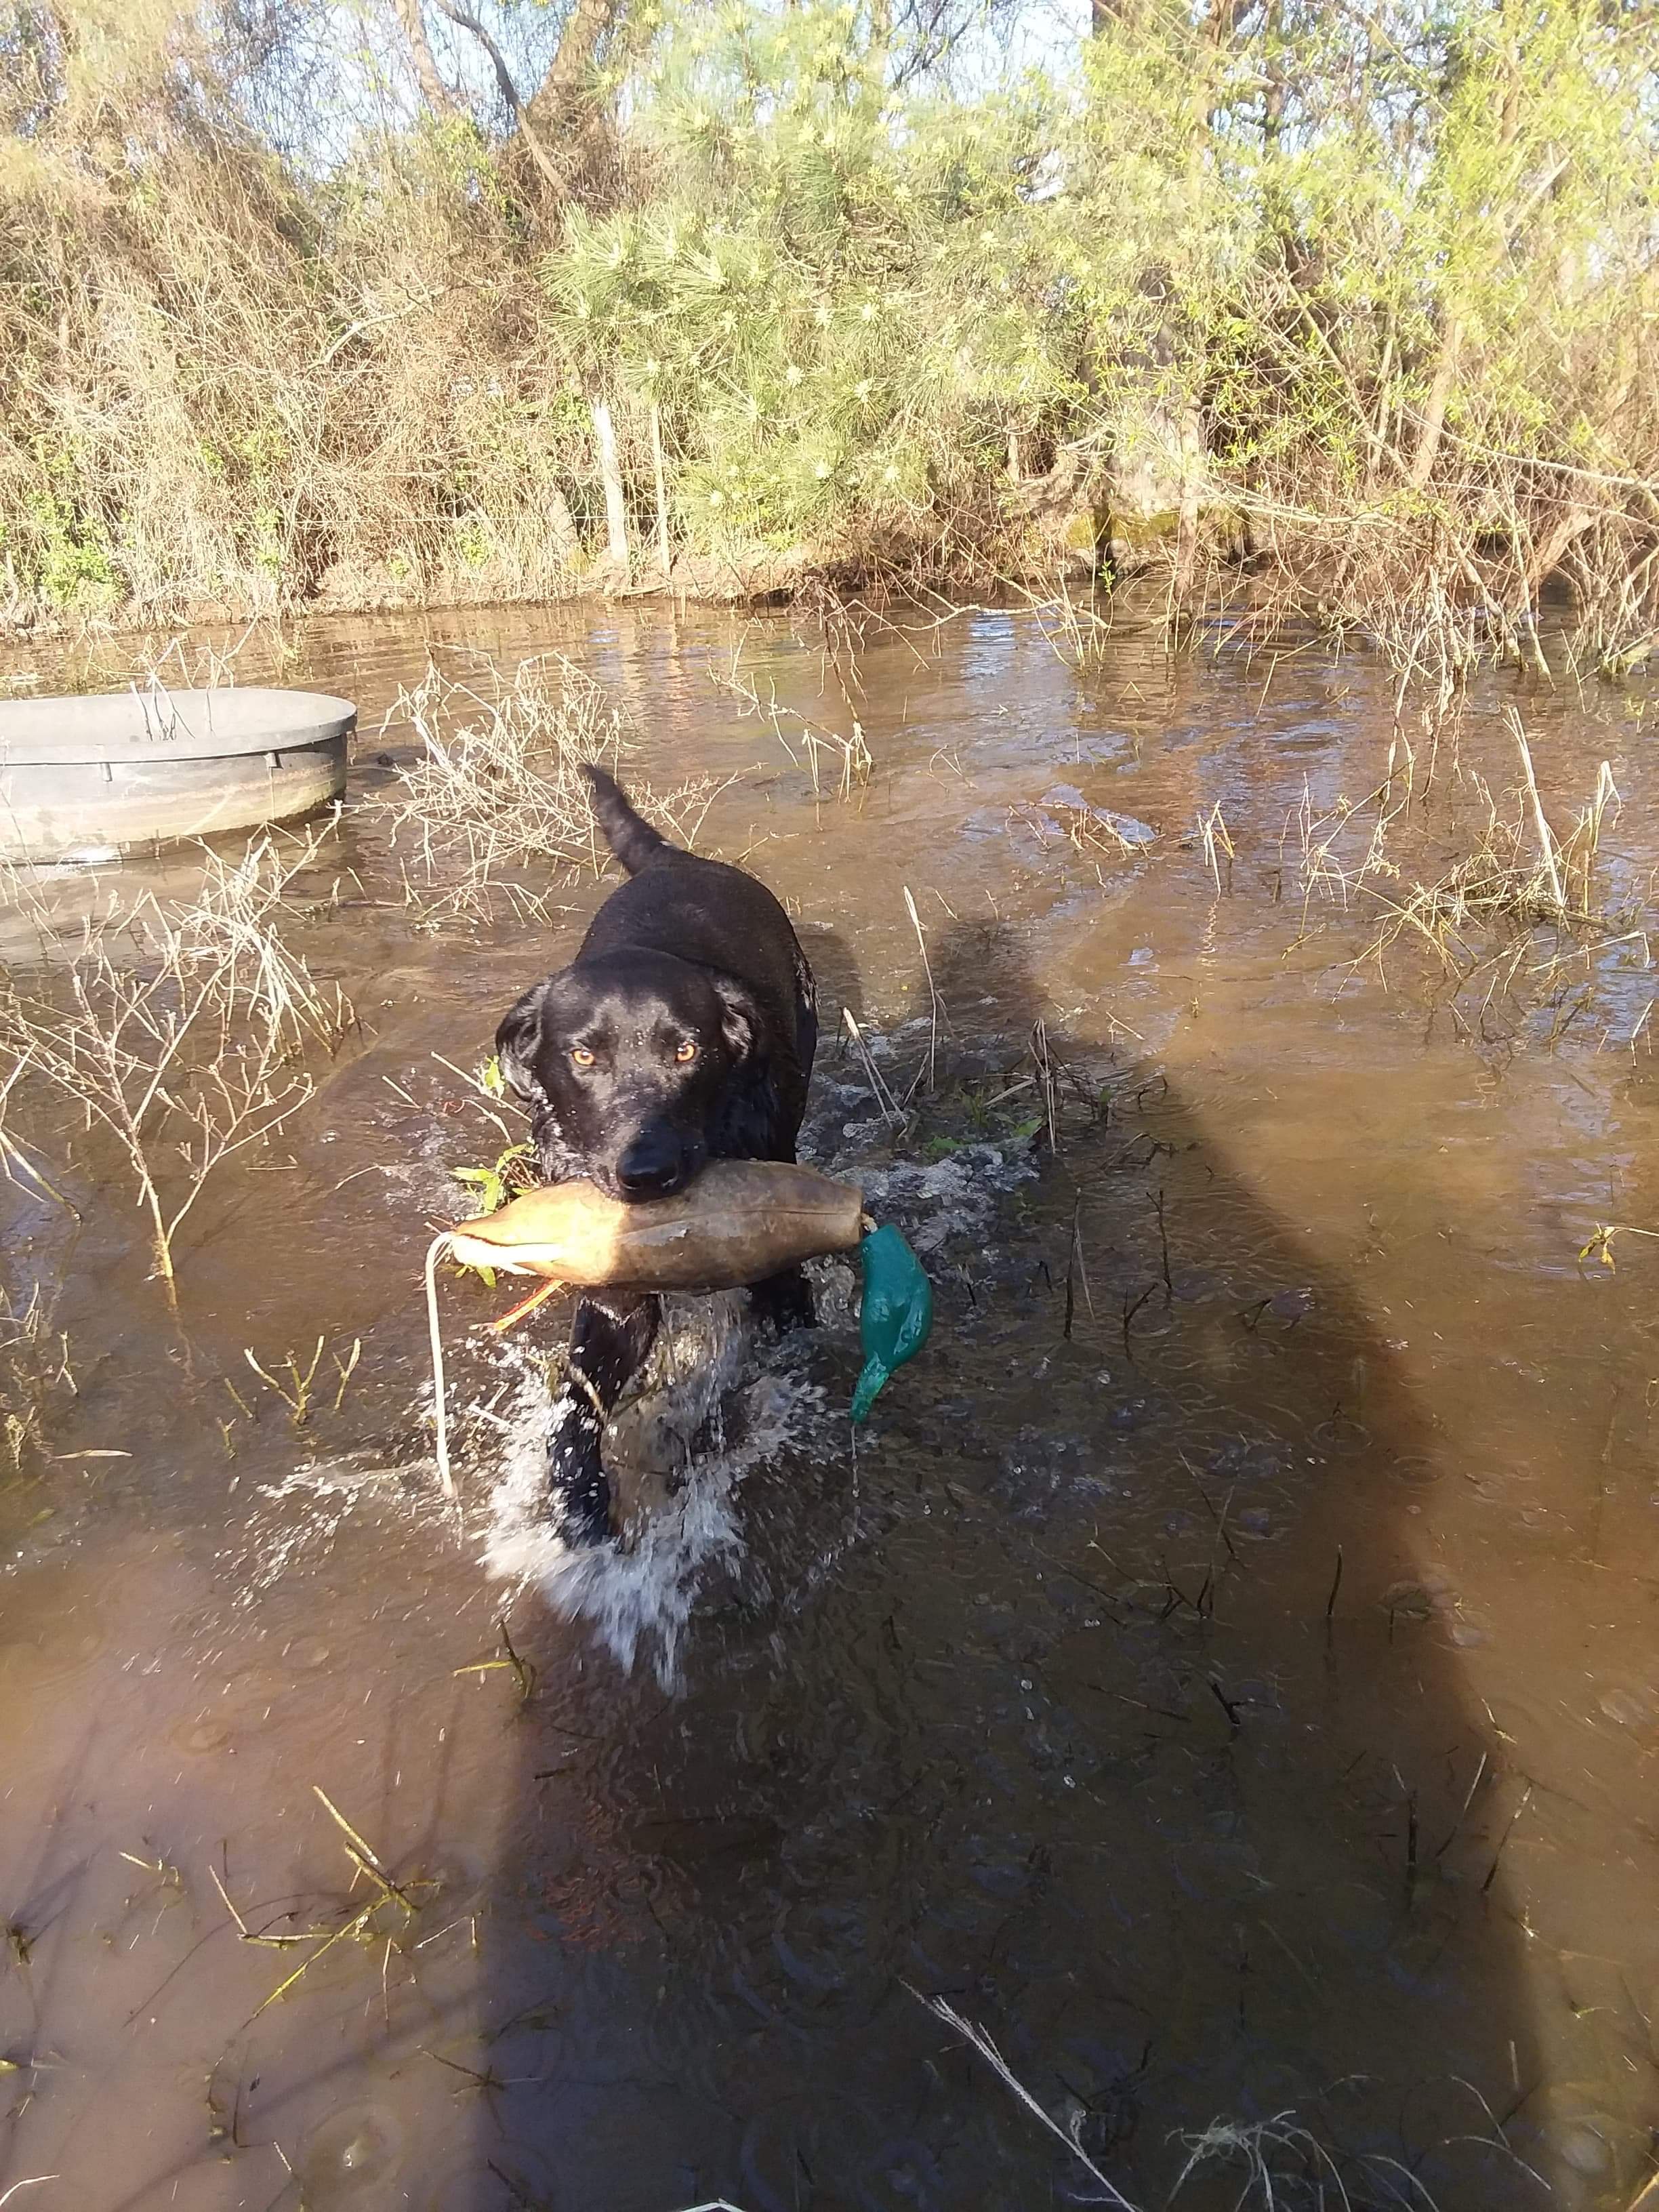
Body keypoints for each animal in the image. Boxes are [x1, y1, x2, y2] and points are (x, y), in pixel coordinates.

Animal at [499, 769, 827, 1548]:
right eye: (583, 1056)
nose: (646, 1173)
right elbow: (576, 1407)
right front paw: (580, 1502)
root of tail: (675, 859)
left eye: (686, 1051)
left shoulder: (778, 1273)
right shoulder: (615, 1299)